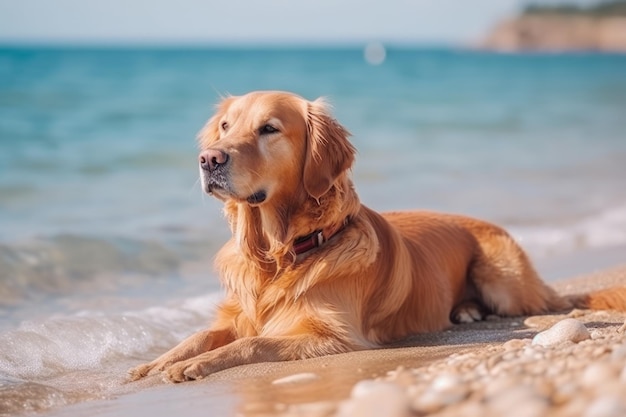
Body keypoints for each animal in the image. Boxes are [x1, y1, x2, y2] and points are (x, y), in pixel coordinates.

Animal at [128, 89, 624, 382]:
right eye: (226, 127)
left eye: (269, 129)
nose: (208, 159)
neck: (280, 253)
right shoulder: (237, 314)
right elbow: (199, 335)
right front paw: (155, 363)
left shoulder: (336, 336)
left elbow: (254, 342)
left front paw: (195, 366)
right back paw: (465, 311)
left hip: (503, 280)